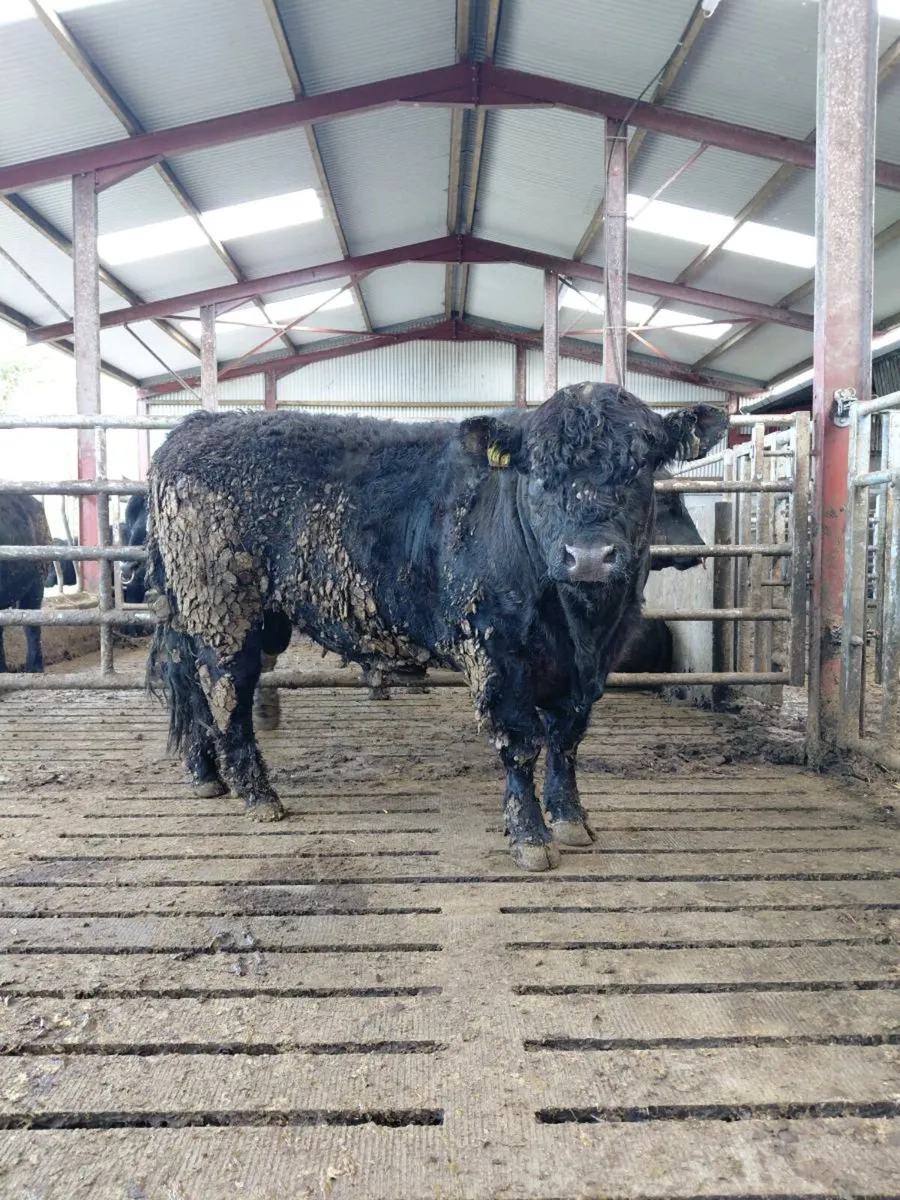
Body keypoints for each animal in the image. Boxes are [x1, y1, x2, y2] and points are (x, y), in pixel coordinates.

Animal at [146, 383, 726, 870]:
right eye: (538, 472)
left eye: (641, 467)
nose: (588, 556)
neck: (579, 624)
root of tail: (197, 426)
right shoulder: (497, 653)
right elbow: (522, 744)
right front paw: (531, 838)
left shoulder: (593, 666)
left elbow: (567, 739)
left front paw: (570, 820)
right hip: (225, 614)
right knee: (227, 694)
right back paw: (258, 796)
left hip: (211, 619)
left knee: (196, 691)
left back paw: (207, 777)